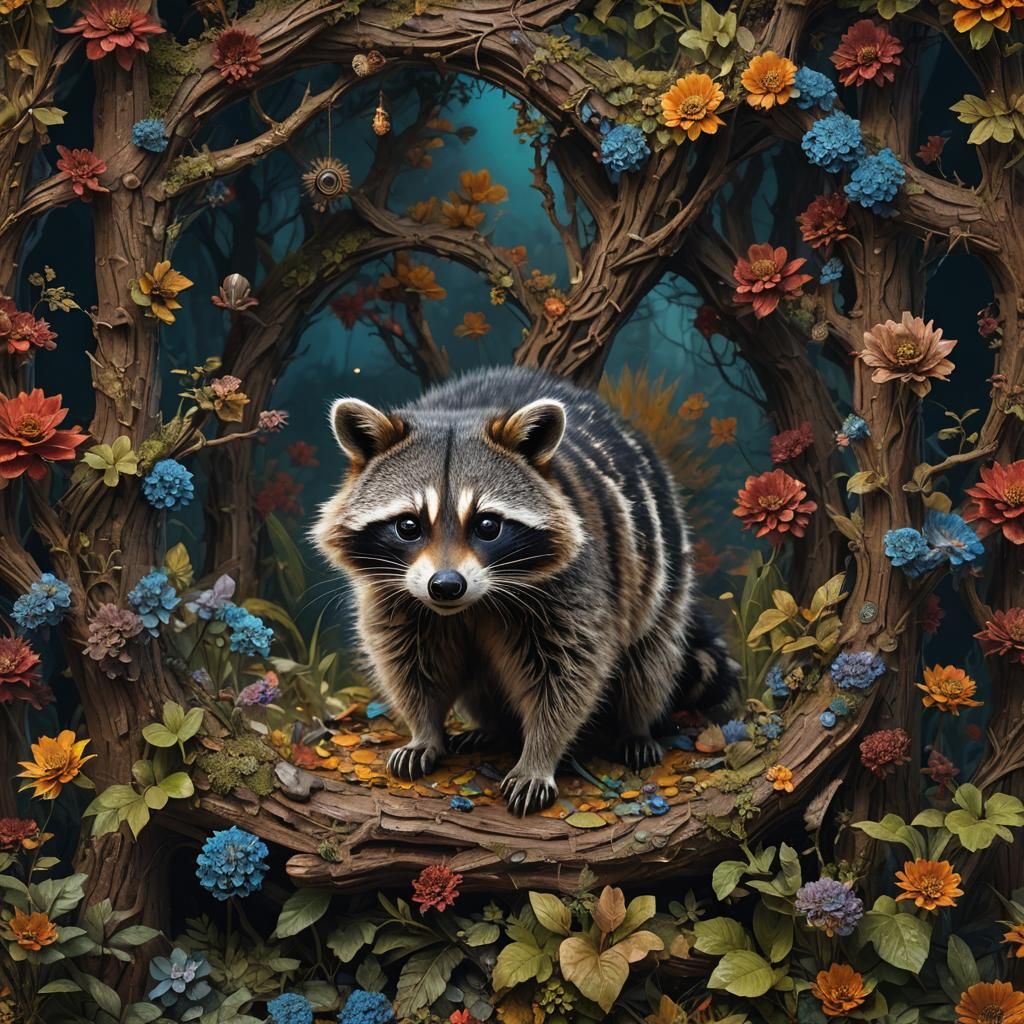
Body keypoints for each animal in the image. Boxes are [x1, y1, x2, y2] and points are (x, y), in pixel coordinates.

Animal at [313, 366, 740, 816]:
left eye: (487, 525)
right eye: (409, 526)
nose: (445, 586)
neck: (471, 605)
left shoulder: (577, 583)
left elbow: (568, 675)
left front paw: (539, 755)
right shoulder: (394, 593)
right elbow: (410, 663)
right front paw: (424, 731)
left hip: (660, 571)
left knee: (650, 658)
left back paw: (636, 726)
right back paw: (493, 727)